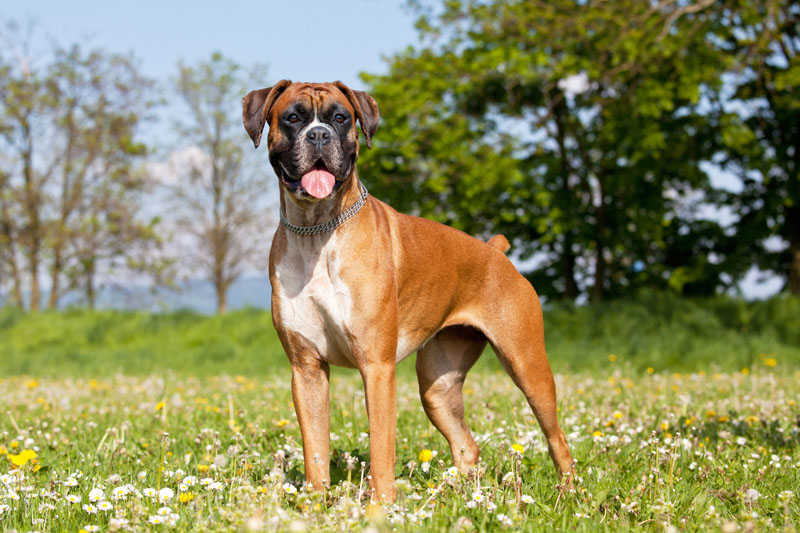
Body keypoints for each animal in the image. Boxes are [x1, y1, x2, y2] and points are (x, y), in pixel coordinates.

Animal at [241, 78, 572, 498]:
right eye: (293, 118)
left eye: (340, 118)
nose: (319, 135)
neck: (316, 231)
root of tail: (494, 251)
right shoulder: (307, 369)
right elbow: (314, 449)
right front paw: (314, 504)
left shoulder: (377, 369)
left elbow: (381, 448)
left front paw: (380, 505)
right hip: (436, 386)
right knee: (467, 444)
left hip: (527, 366)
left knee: (557, 439)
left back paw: (568, 494)